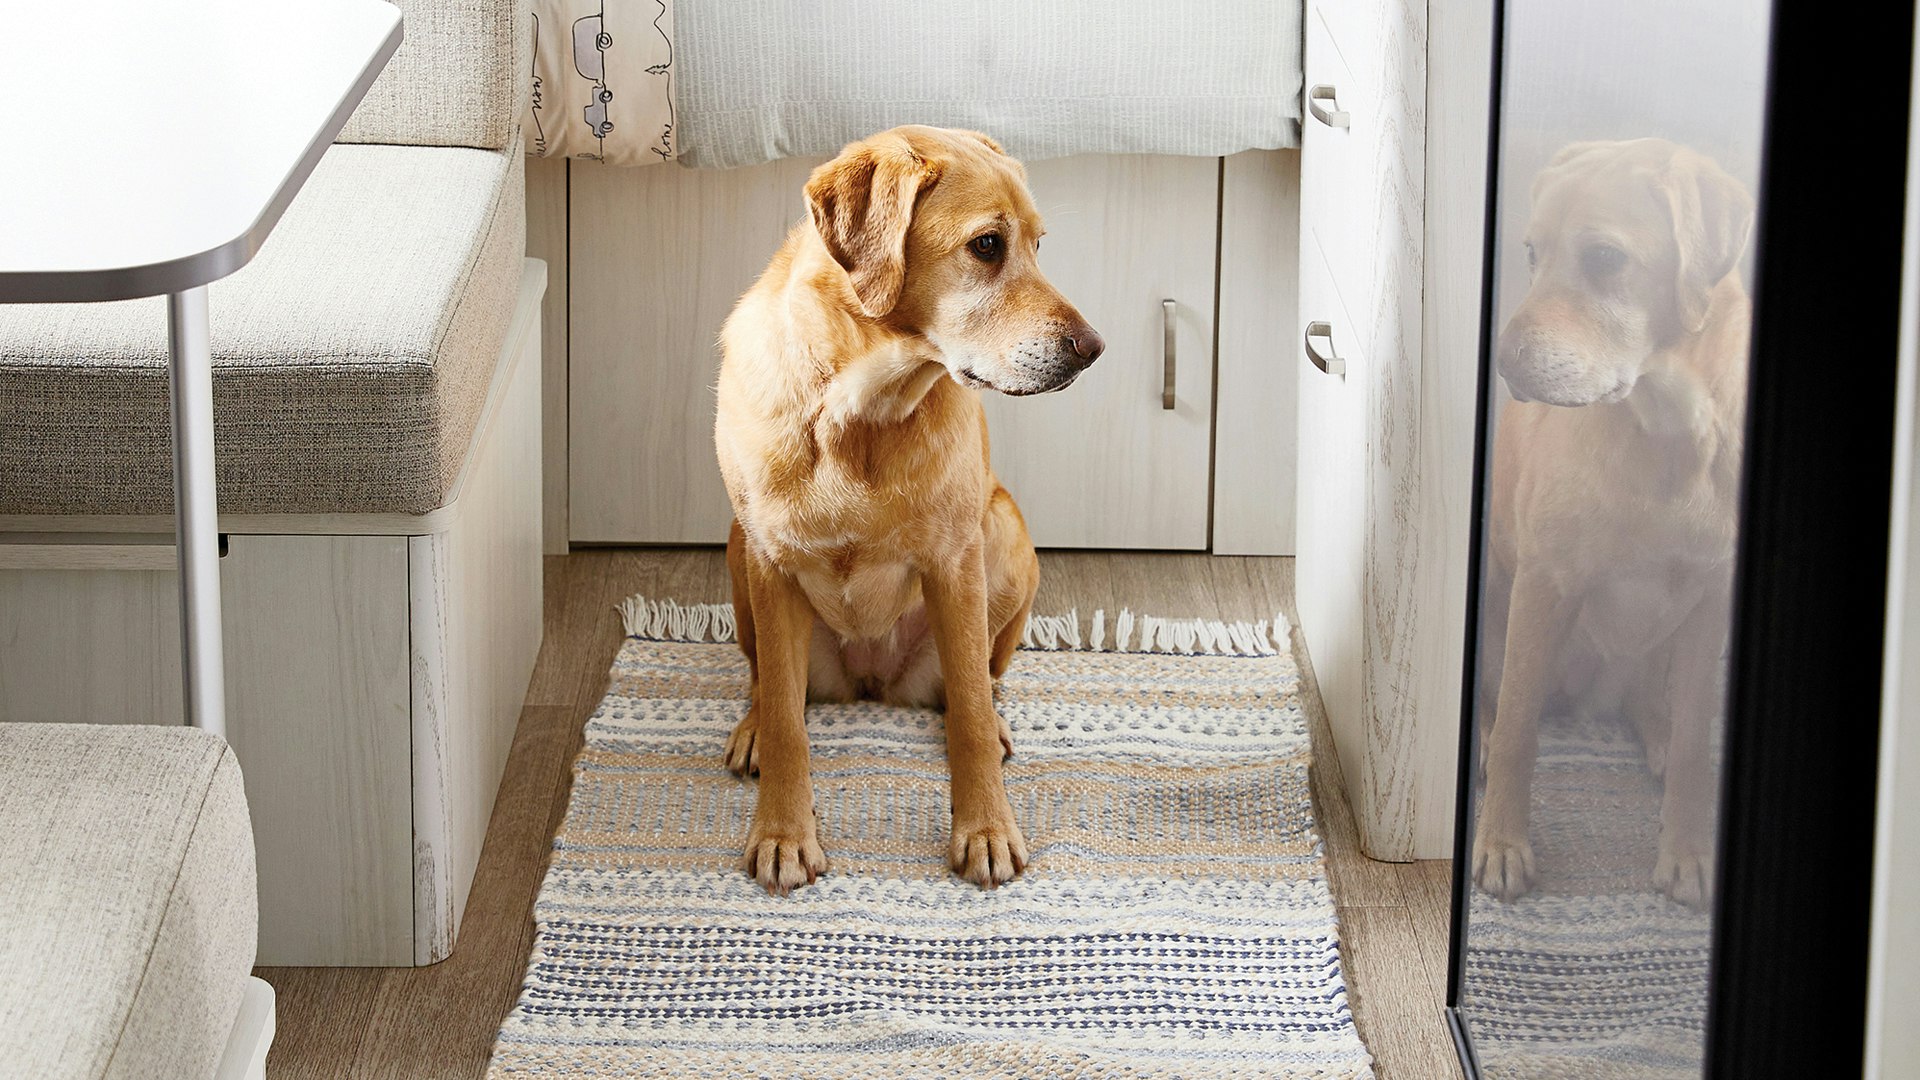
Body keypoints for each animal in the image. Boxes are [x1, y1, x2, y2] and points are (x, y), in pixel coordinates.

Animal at [714, 125, 1105, 891]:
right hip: (738, 554)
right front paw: (783, 834)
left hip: (1004, 539)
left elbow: (972, 722)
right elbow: (788, 723)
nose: (1093, 350)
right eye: (988, 245)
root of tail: (872, 681)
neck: (856, 408)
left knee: (978, 684)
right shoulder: (770, 561)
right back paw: (751, 728)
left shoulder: (954, 563)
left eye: (1039, 244)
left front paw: (986, 830)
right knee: (765, 683)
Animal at [1466, 138, 1758, 903]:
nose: (1502, 366)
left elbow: (1693, 743)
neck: (1669, 434)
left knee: (1657, 708)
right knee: (1503, 710)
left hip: (1665, 640)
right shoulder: (1545, 584)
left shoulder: (1711, 600)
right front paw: (1501, 845)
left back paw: (1653, 731)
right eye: (1531, 253)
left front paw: (1686, 850)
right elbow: (1519, 734)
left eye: (1603, 258)